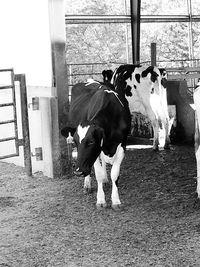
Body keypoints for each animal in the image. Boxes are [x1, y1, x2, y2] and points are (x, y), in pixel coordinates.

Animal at [61, 80, 132, 210]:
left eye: (91, 141)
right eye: (75, 142)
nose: (78, 171)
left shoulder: (122, 146)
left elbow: (115, 174)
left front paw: (116, 201)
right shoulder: (95, 153)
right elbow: (98, 174)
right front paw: (101, 200)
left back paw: (104, 179)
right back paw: (87, 184)